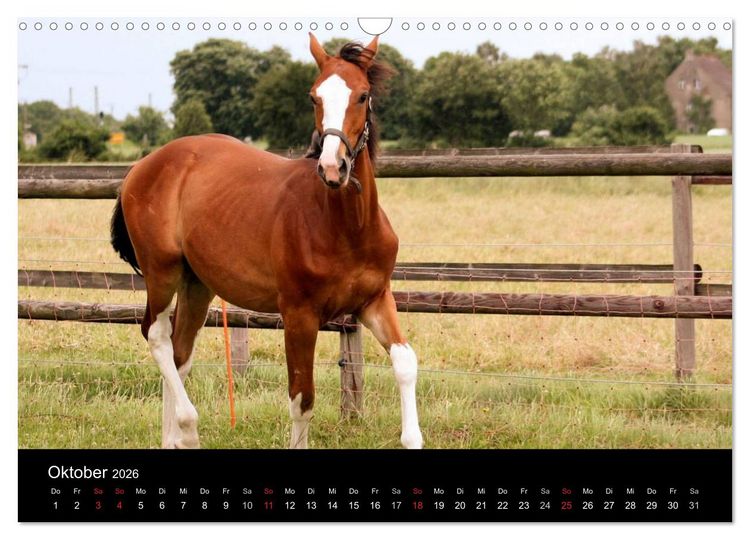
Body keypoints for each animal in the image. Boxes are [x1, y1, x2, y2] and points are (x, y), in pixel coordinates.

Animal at [110, 33, 423, 450]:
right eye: (313, 96)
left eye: (362, 95)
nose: (332, 168)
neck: (347, 228)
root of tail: (142, 166)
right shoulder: (299, 315)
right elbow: (302, 400)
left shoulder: (374, 300)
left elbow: (405, 361)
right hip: (161, 271)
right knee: (158, 337)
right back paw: (188, 427)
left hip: (197, 283)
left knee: (180, 353)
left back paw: (172, 438)